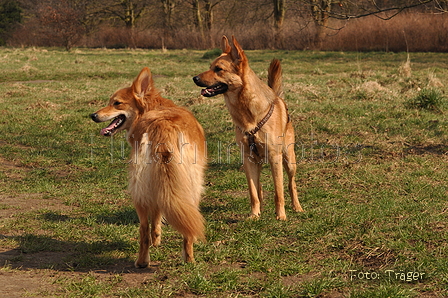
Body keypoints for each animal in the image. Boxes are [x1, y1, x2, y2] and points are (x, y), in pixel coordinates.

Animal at [91, 68, 206, 268]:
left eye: (116, 103)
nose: (93, 115)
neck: (152, 108)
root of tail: (163, 126)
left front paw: (155, 239)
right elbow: (159, 212)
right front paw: (157, 239)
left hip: (139, 189)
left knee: (143, 228)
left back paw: (142, 261)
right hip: (191, 187)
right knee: (184, 228)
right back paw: (188, 259)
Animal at [193, 35, 304, 221]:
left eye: (218, 69)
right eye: (210, 67)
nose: (194, 78)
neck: (248, 112)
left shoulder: (275, 158)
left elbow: (278, 191)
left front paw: (281, 215)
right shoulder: (248, 159)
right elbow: (253, 192)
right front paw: (254, 214)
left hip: (289, 160)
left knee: (291, 184)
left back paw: (296, 207)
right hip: (257, 162)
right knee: (258, 188)